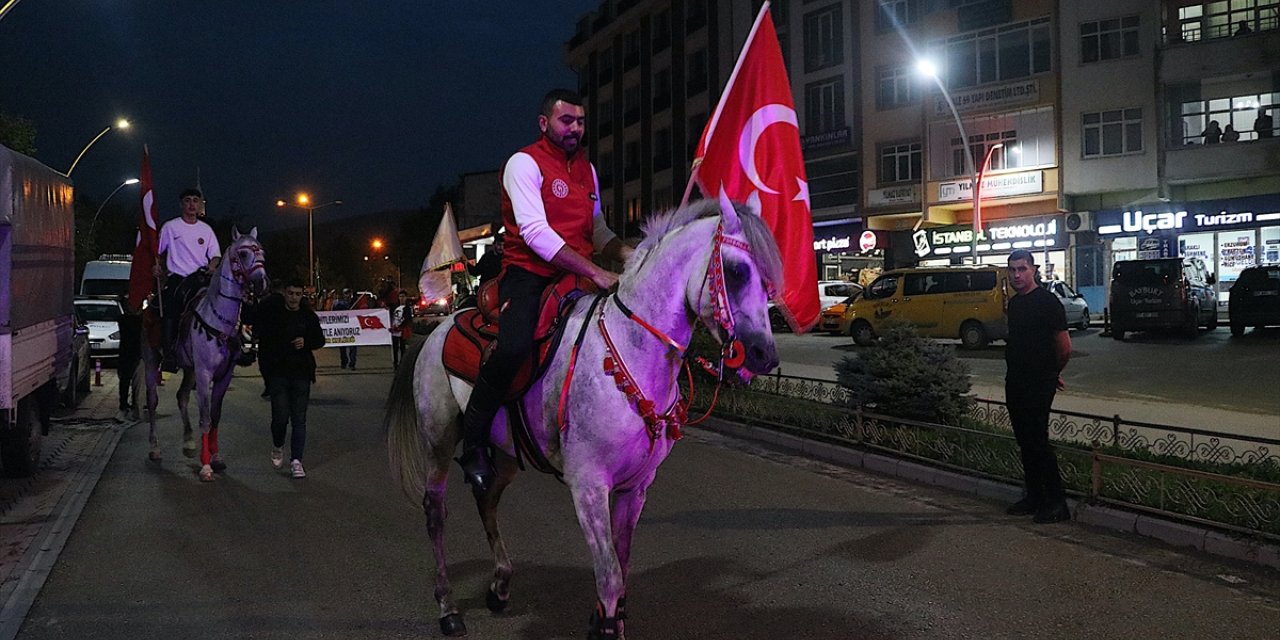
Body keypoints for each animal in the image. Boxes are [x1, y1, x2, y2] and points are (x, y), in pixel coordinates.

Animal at [142, 227, 267, 481]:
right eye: (243, 253)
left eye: (262, 252)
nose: (261, 283)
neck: (218, 318)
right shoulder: (204, 373)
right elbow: (205, 417)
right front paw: (206, 466)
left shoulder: (223, 375)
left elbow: (216, 416)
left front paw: (215, 458)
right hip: (152, 361)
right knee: (152, 401)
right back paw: (155, 448)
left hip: (189, 369)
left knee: (181, 396)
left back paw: (189, 443)